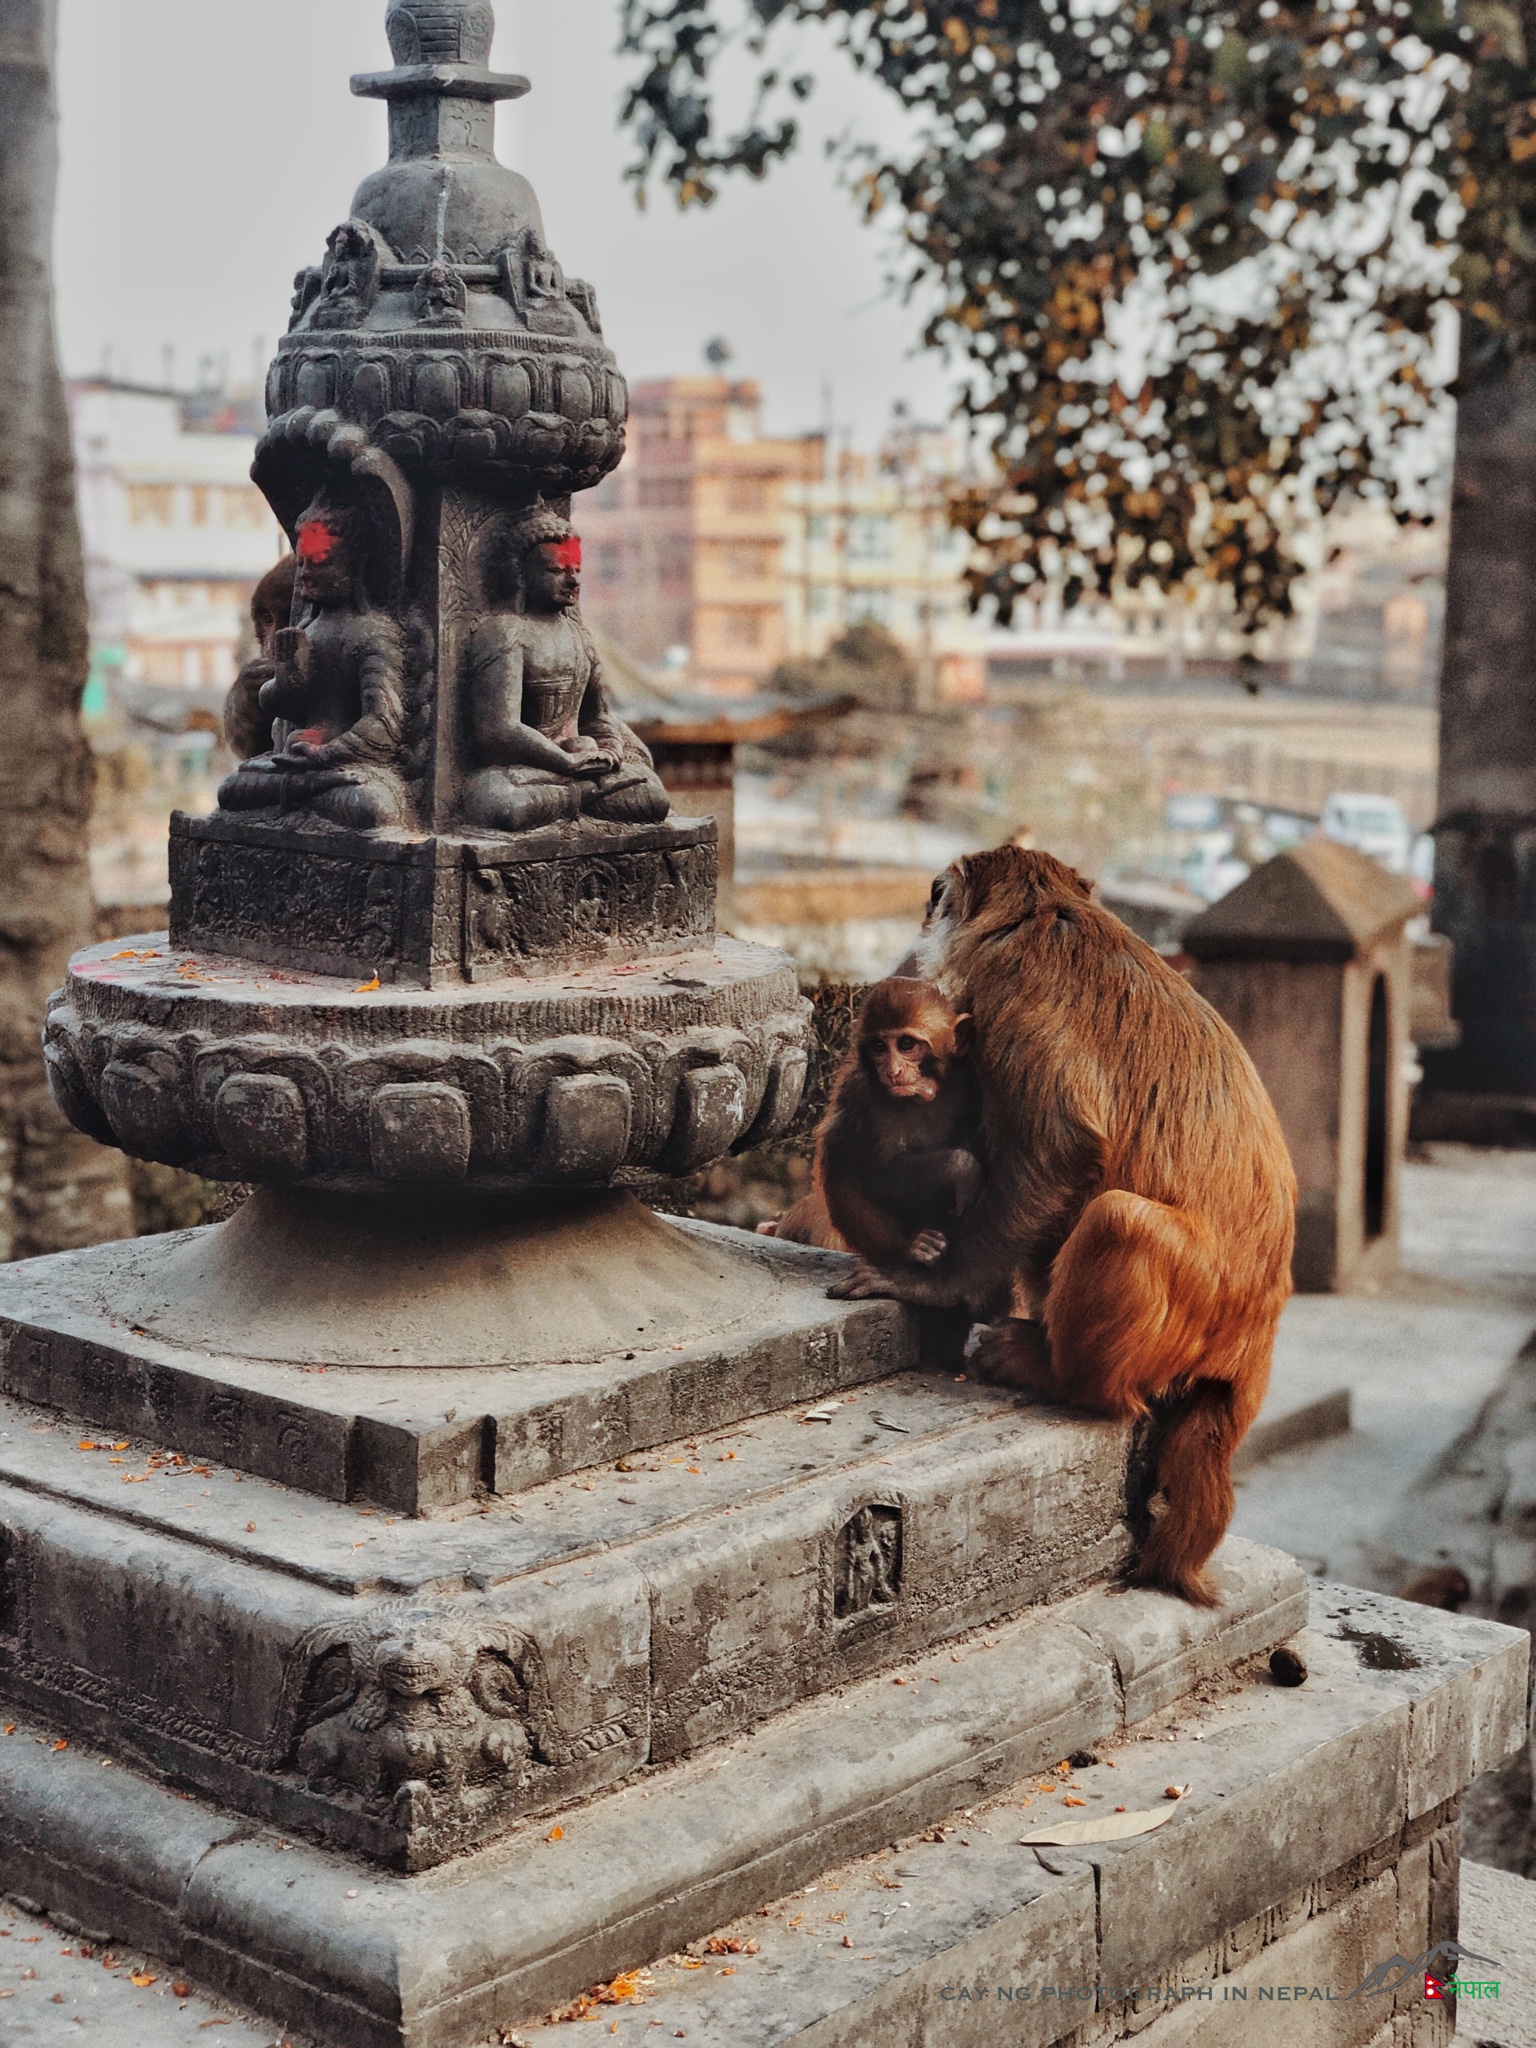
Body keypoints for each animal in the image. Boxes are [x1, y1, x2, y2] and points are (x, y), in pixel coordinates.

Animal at [765, 983, 987, 1269]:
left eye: (906, 1044)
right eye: (879, 1047)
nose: (893, 1071)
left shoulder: (968, 1076)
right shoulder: (858, 1091)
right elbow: (874, 1172)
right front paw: (960, 1167)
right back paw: (910, 1250)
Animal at [843, 839, 1302, 1605]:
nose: (914, 936)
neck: (1040, 912)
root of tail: (1254, 1343)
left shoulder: (1006, 995)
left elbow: (1060, 1146)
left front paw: (941, 1285)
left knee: (1119, 1221)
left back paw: (1061, 1376)